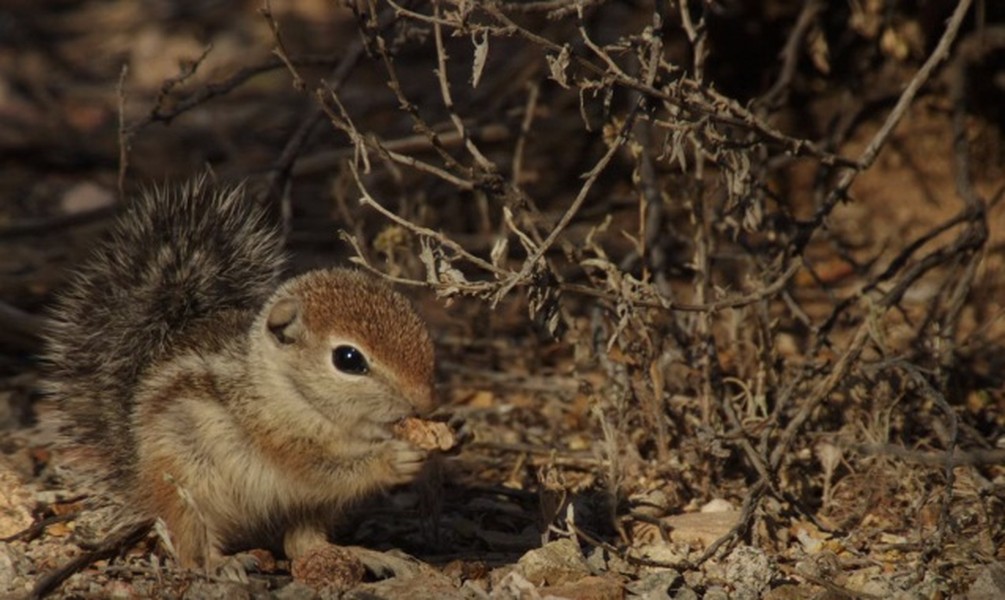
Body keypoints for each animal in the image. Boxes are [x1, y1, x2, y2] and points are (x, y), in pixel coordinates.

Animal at [43, 176, 436, 566]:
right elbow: (322, 470)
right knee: (188, 545)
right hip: (188, 482)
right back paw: (224, 564)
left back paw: (365, 555)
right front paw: (392, 460)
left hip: (310, 509)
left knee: (303, 544)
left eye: (419, 326)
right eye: (349, 359)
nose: (424, 403)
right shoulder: (276, 439)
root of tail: (138, 475)